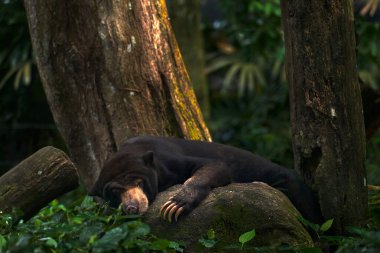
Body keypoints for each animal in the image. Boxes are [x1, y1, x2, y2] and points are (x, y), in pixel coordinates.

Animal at [90, 136, 324, 223]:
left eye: (138, 183)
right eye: (115, 192)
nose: (132, 207)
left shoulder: (170, 159)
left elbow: (213, 166)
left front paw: (174, 206)